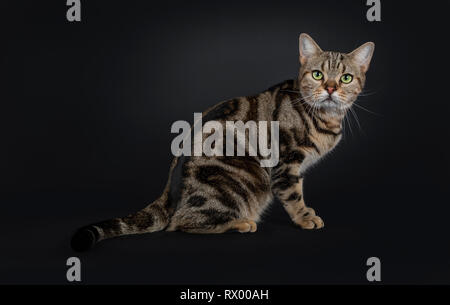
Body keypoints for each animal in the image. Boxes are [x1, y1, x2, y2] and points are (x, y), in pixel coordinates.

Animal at [70, 33, 372, 252]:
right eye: (317, 74)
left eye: (345, 77)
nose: (330, 88)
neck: (324, 117)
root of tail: (168, 192)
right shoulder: (286, 164)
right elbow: (293, 195)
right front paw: (305, 218)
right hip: (246, 179)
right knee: (180, 224)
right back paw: (240, 223)